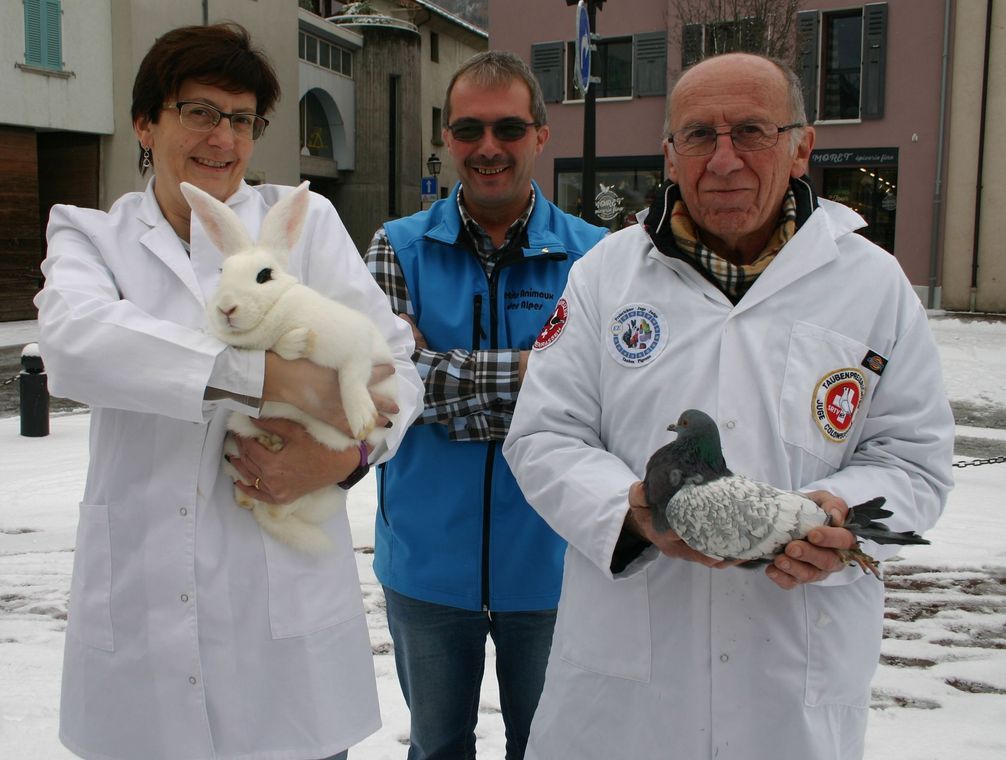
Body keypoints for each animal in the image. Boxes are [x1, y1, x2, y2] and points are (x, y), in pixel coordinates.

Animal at [183, 181, 394, 555]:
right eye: (222, 273)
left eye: (264, 275)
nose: (226, 308)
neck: (274, 316)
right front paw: (295, 343)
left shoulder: (354, 341)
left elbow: (352, 376)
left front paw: (362, 420)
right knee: (262, 504)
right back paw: (266, 446)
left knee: (280, 510)